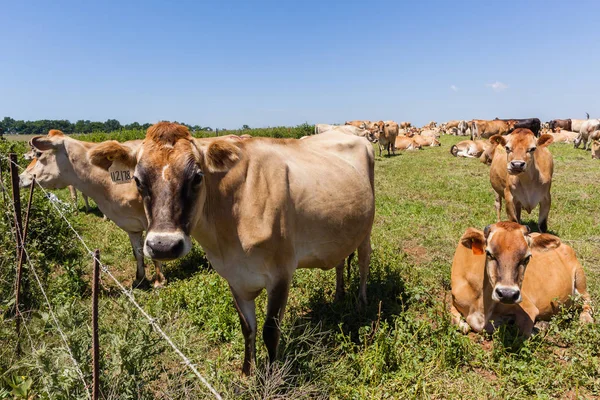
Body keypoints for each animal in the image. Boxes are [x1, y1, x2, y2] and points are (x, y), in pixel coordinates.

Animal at [18, 130, 164, 290]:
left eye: (38, 154)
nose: (20, 177)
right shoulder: (131, 225)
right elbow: (137, 252)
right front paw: (140, 279)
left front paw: (159, 281)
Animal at [88, 122, 376, 376]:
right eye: (137, 180)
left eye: (197, 177)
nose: (163, 246)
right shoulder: (233, 276)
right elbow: (247, 327)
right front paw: (247, 372)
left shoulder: (281, 273)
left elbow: (270, 331)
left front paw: (272, 377)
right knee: (340, 261)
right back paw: (338, 295)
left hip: (367, 229)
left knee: (363, 262)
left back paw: (361, 302)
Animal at [450, 220, 592, 336]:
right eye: (489, 253)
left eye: (527, 257)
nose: (507, 294)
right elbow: (456, 319)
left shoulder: (529, 309)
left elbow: (523, 333)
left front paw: (539, 327)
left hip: (580, 278)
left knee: (587, 301)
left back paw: (586, 319)